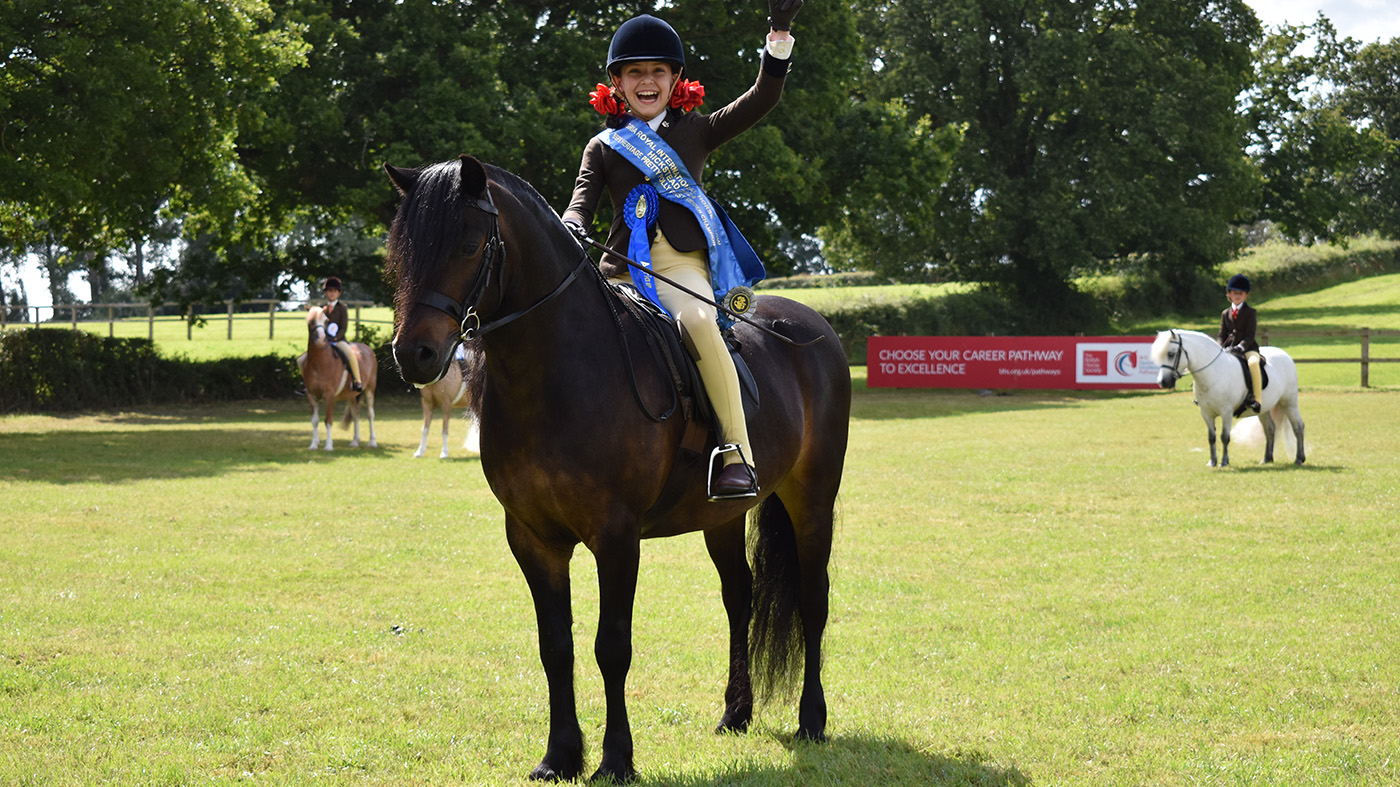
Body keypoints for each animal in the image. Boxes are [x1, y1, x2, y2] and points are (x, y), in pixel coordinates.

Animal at [302, 306, 378, 451]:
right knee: (355, 414)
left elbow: (328, 420)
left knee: (370, 415)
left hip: (369, 390)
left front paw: (328, 446)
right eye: (310, 321)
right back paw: (355, 441)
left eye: (326, 321)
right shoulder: (311, 395)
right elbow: (314, 421)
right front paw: (313, 444)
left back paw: (372, 442)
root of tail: (367, 348)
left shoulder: (330, 395)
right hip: (352, 395)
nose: (321, 339)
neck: (318, 363)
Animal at [385, 156, 850, 782]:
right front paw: (559, 756)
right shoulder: (532, 538)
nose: (414, 355)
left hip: (813, 499)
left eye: (468, 243)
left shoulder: (616, 535)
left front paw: (615, 759)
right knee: (740, 597)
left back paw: (812, 720)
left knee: (811, 598)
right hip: (722, 516)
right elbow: (555, 646)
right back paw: (736, 713)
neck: (555, 372)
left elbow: (612, 646)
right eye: (400, 251)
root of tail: (813, 325)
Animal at [1150, 328, 1305, 467]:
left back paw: (1299, 459)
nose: (1163, 382)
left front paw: (1224, 462)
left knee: (1298, 426)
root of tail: (1285, 355)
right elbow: (1211, 437)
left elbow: (1224, 437)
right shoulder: (1206, 413)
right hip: (1264, 408)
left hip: (1289, 403)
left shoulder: (1226, 412)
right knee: (1270, 429)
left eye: (1171, 354)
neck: (1213, 373)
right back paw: (1267, 459)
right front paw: (1212, 462)